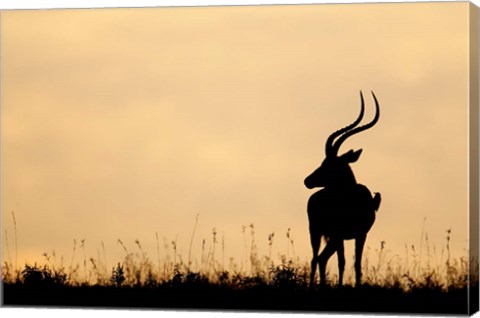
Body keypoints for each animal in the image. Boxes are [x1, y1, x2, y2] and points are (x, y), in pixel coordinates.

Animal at [304, 90, 382, 286]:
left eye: (330, 164)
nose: (307, 181)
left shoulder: (360, 235)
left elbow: (357, 264)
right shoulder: (339, 234)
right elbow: (342, 262)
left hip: (330, 237)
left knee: (321, 258)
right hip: (316, 232)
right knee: (315, 258)